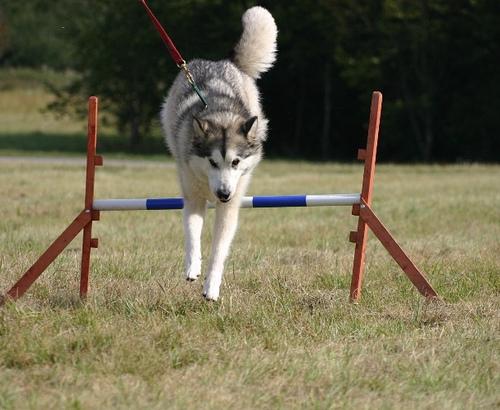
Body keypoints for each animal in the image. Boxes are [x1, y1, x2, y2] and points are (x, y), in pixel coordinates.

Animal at [161, 5, 276, 302]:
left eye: (235, 162)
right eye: (212, 162)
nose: (223, 193)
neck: (220, 113)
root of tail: (222, 61)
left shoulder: (231, 206)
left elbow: (219, 249)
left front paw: (211, 285)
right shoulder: (193, 194)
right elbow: (193, 233)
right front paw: (192, 266)